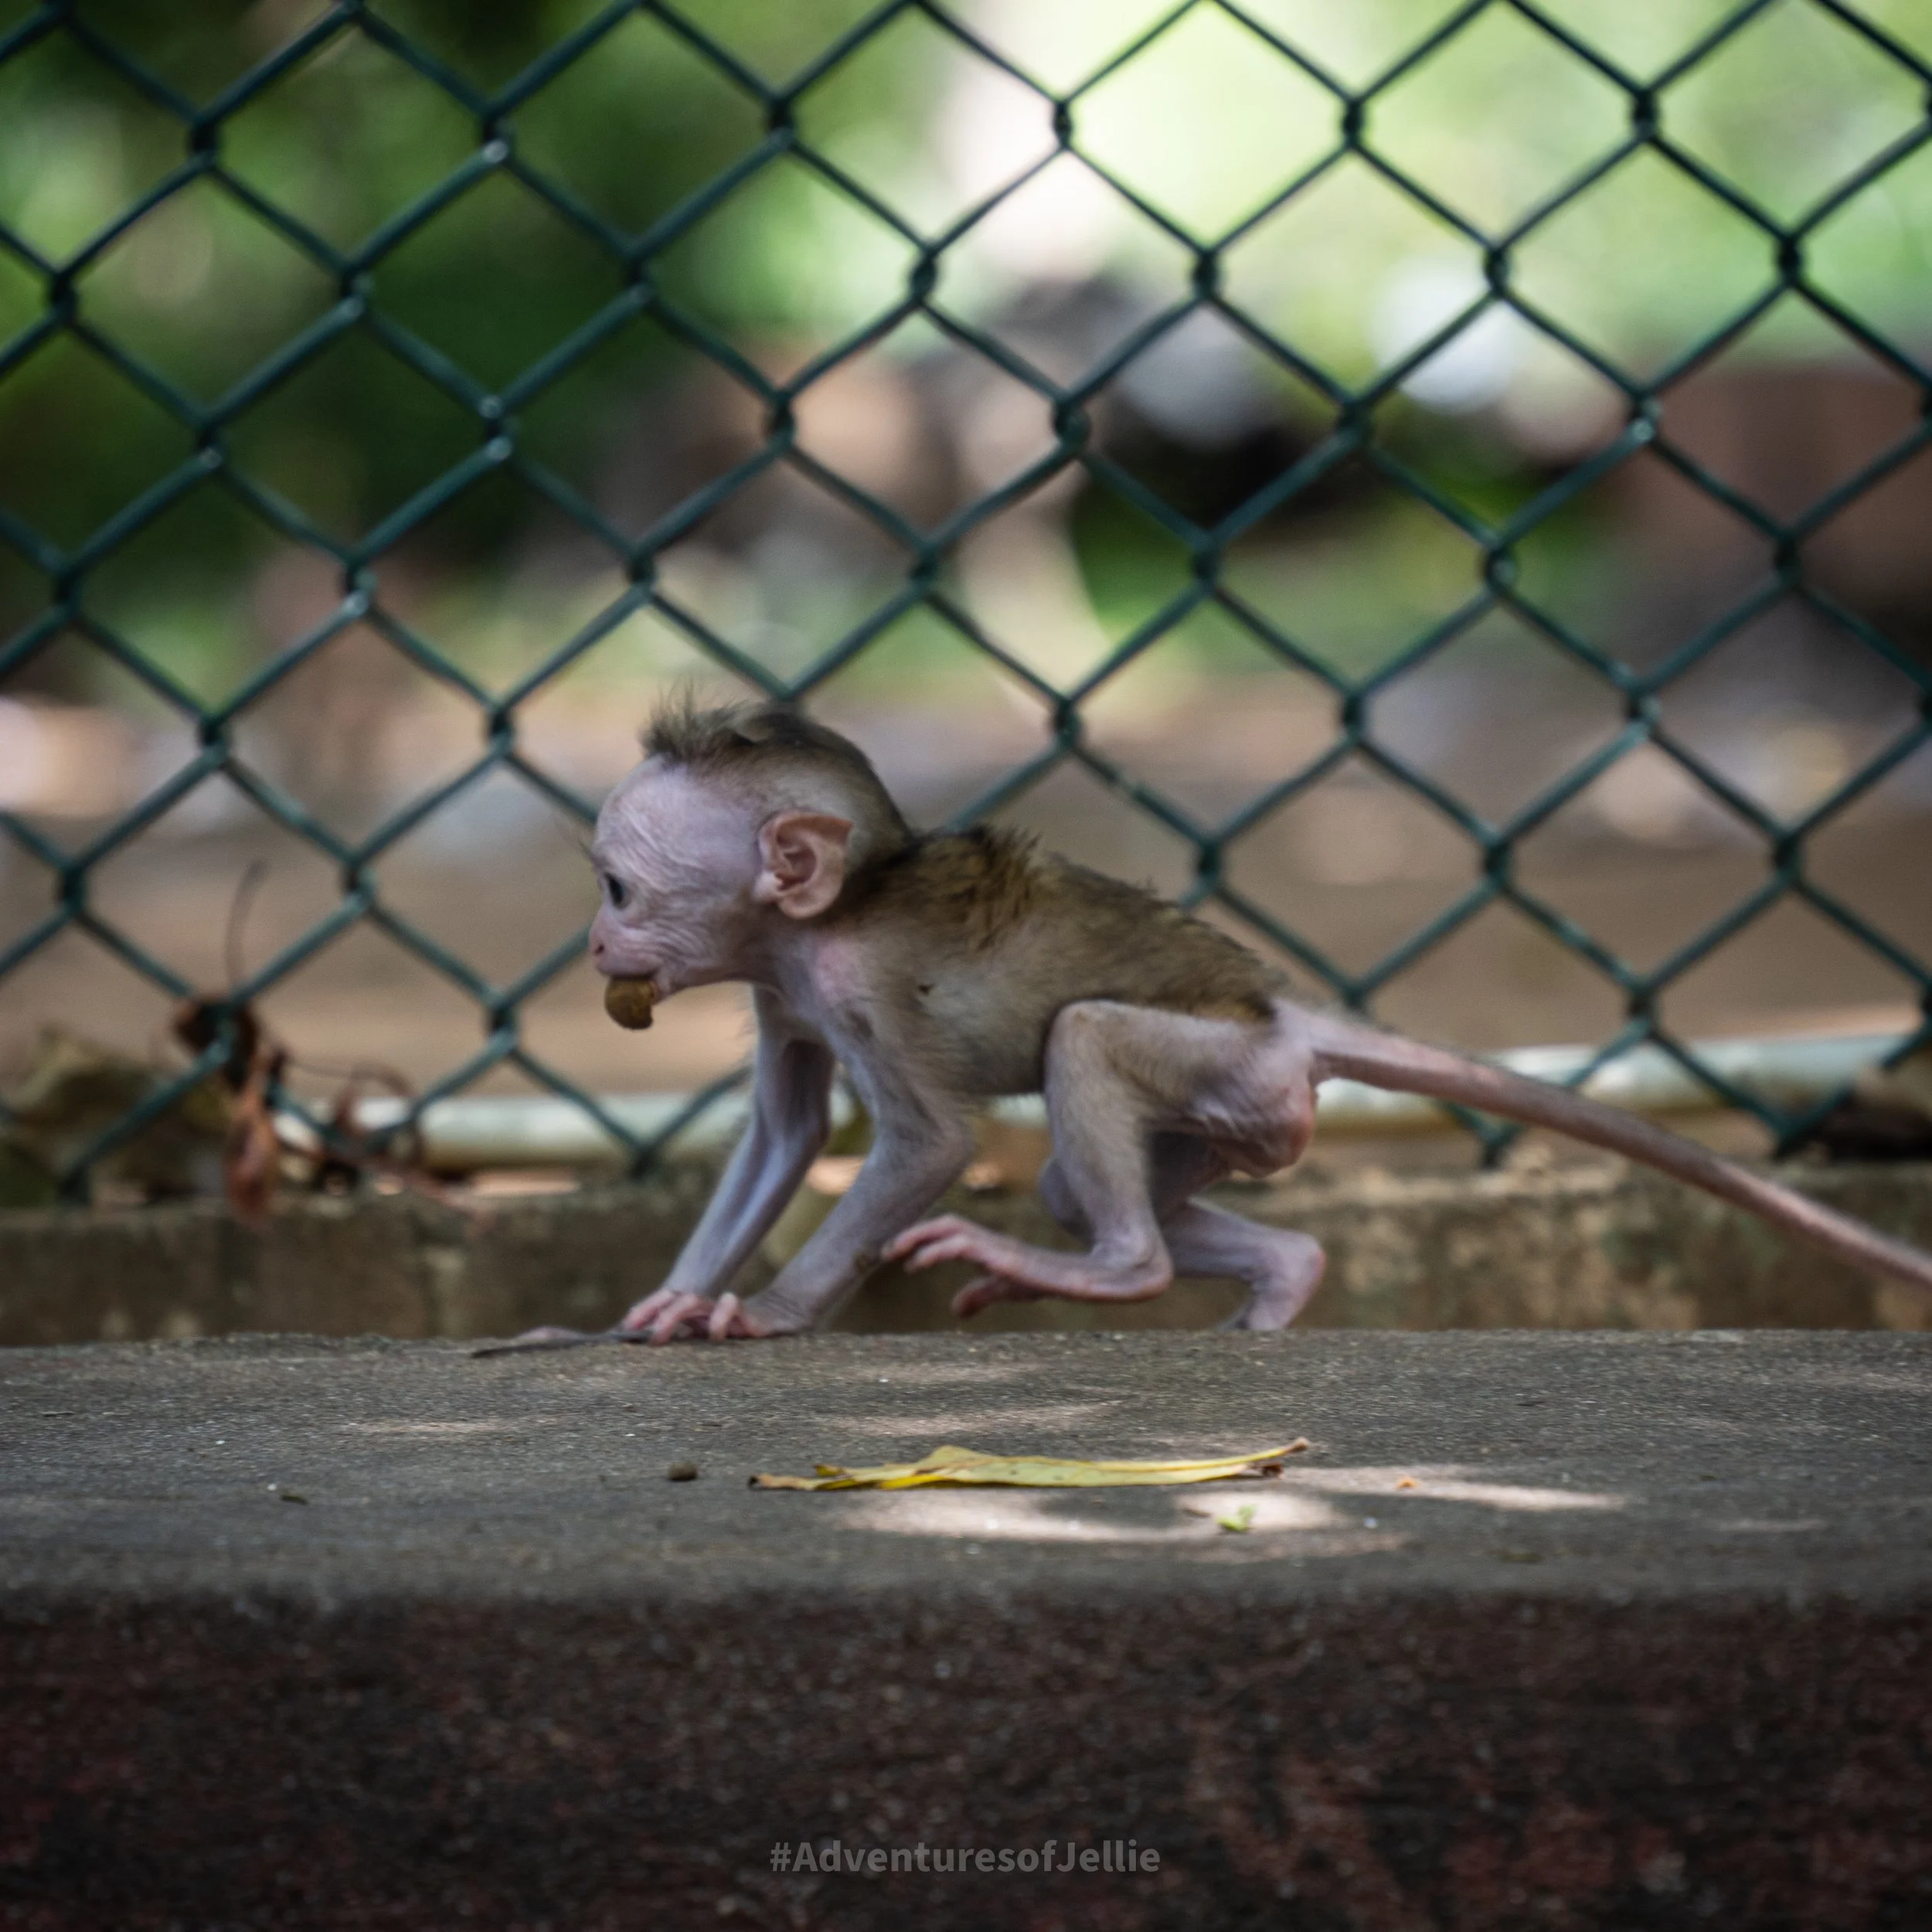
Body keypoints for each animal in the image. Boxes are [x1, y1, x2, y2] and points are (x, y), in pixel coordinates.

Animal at [524, 696, 1932, 1346]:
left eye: (618, 887)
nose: (595, 944)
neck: (821, 923)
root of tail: (1283, 1017)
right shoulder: (782, 986)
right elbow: (783, 1132)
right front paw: (654, 1312)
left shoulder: (855, 981)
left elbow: (924, 1145)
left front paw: (770, 1311)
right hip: (1250, 1114)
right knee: (1076, 1187)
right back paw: (1277, 1279)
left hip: (1227, 1064)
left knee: (1086, 1046)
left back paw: (1116, 1272)